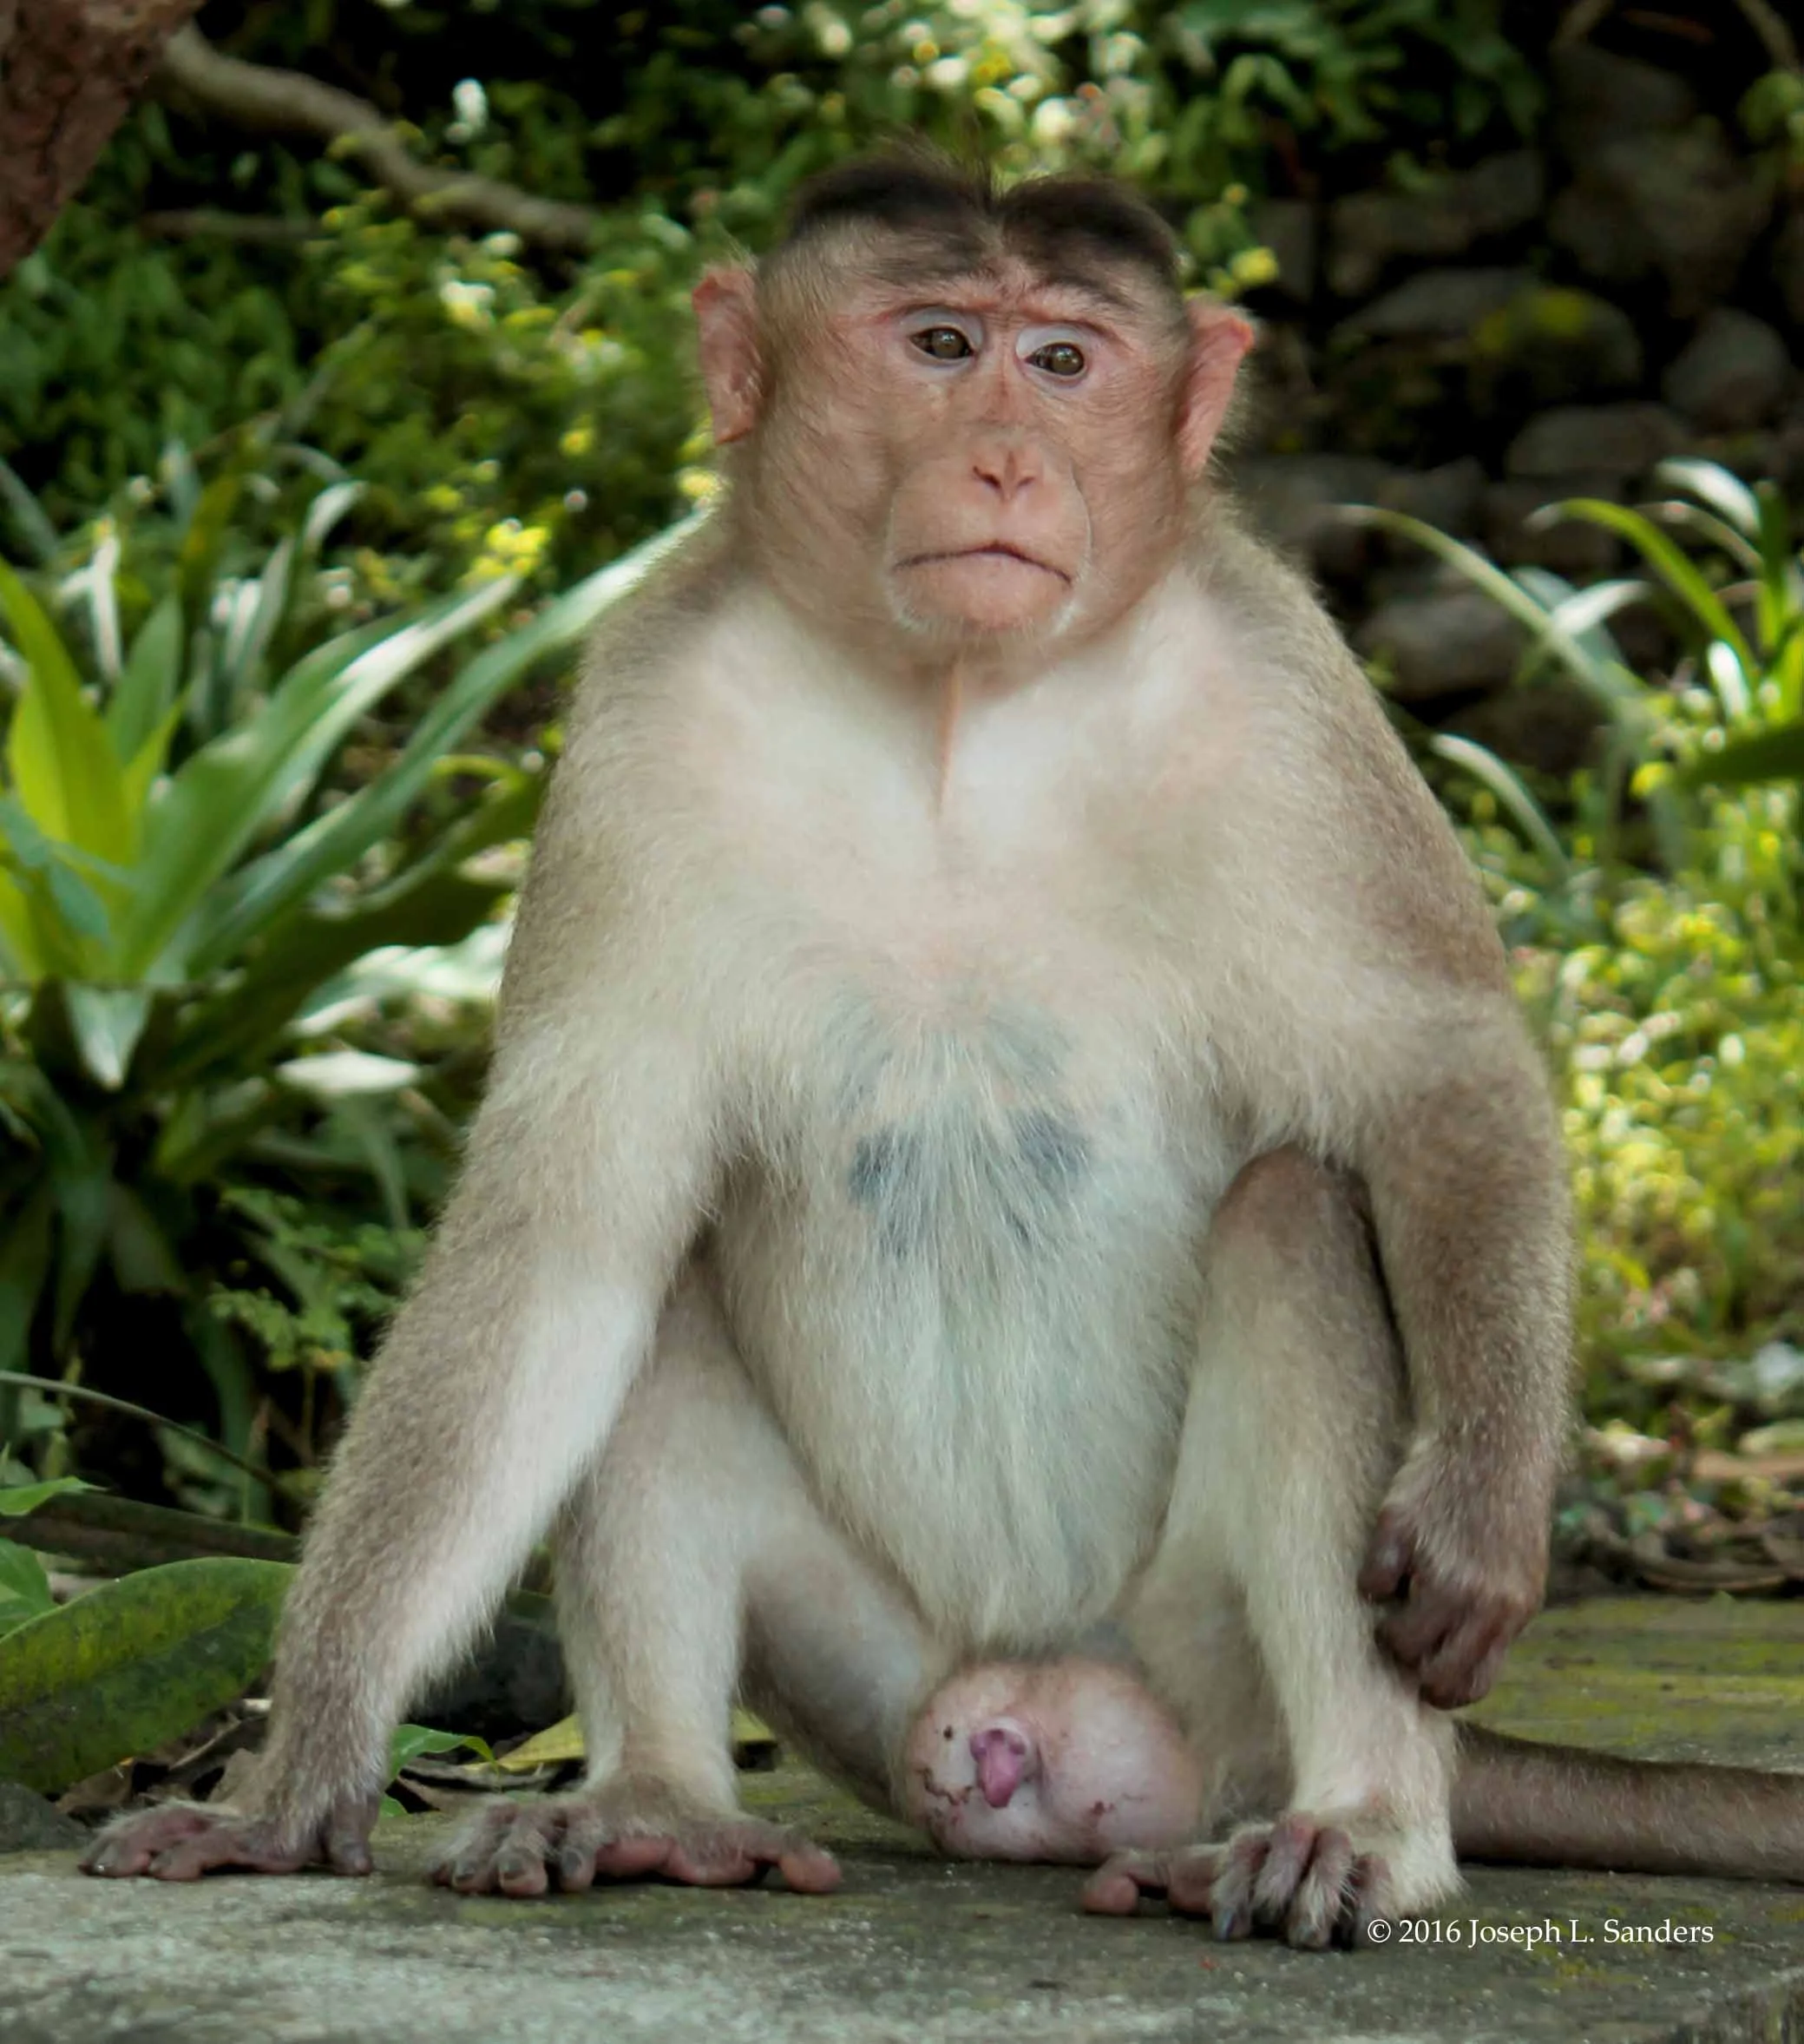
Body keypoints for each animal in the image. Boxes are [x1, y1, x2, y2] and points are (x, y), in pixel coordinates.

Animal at [83, 151, 1584, 1948]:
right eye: (938, 343)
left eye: (1061, 360)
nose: (1004, 458)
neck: (950, 707)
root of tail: (1038, 1694)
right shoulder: (631, 721)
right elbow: (560, 1237)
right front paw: (299, 1768)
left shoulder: (1290, 698)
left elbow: (1433, 1079)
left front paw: (1481, 1516)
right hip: (864, 1682)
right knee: (643, 1276)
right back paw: (660, 1805)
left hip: (1210, 1672)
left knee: (1293, 1217)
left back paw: (1363, 1821)